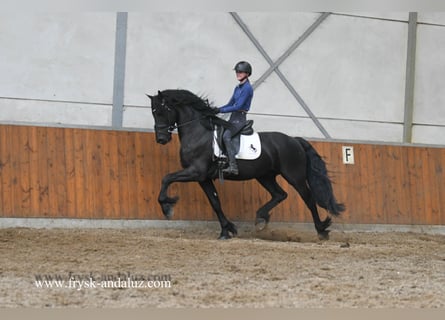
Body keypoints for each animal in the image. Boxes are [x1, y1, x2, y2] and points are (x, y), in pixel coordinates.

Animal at [146, 89, 344, 239]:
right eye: (154, 113)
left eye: (161, 111)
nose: (161, 139)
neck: (199, 132)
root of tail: (294, 140)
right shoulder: (203, 178)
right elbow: (215, 203)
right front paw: (227, 230)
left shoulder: (195, 172)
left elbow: (166, 178)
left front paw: (167, 207)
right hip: (265, 176)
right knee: (280, 194)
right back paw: (261, 219)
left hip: (294, 176)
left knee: (308, 199)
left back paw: (321, 230)